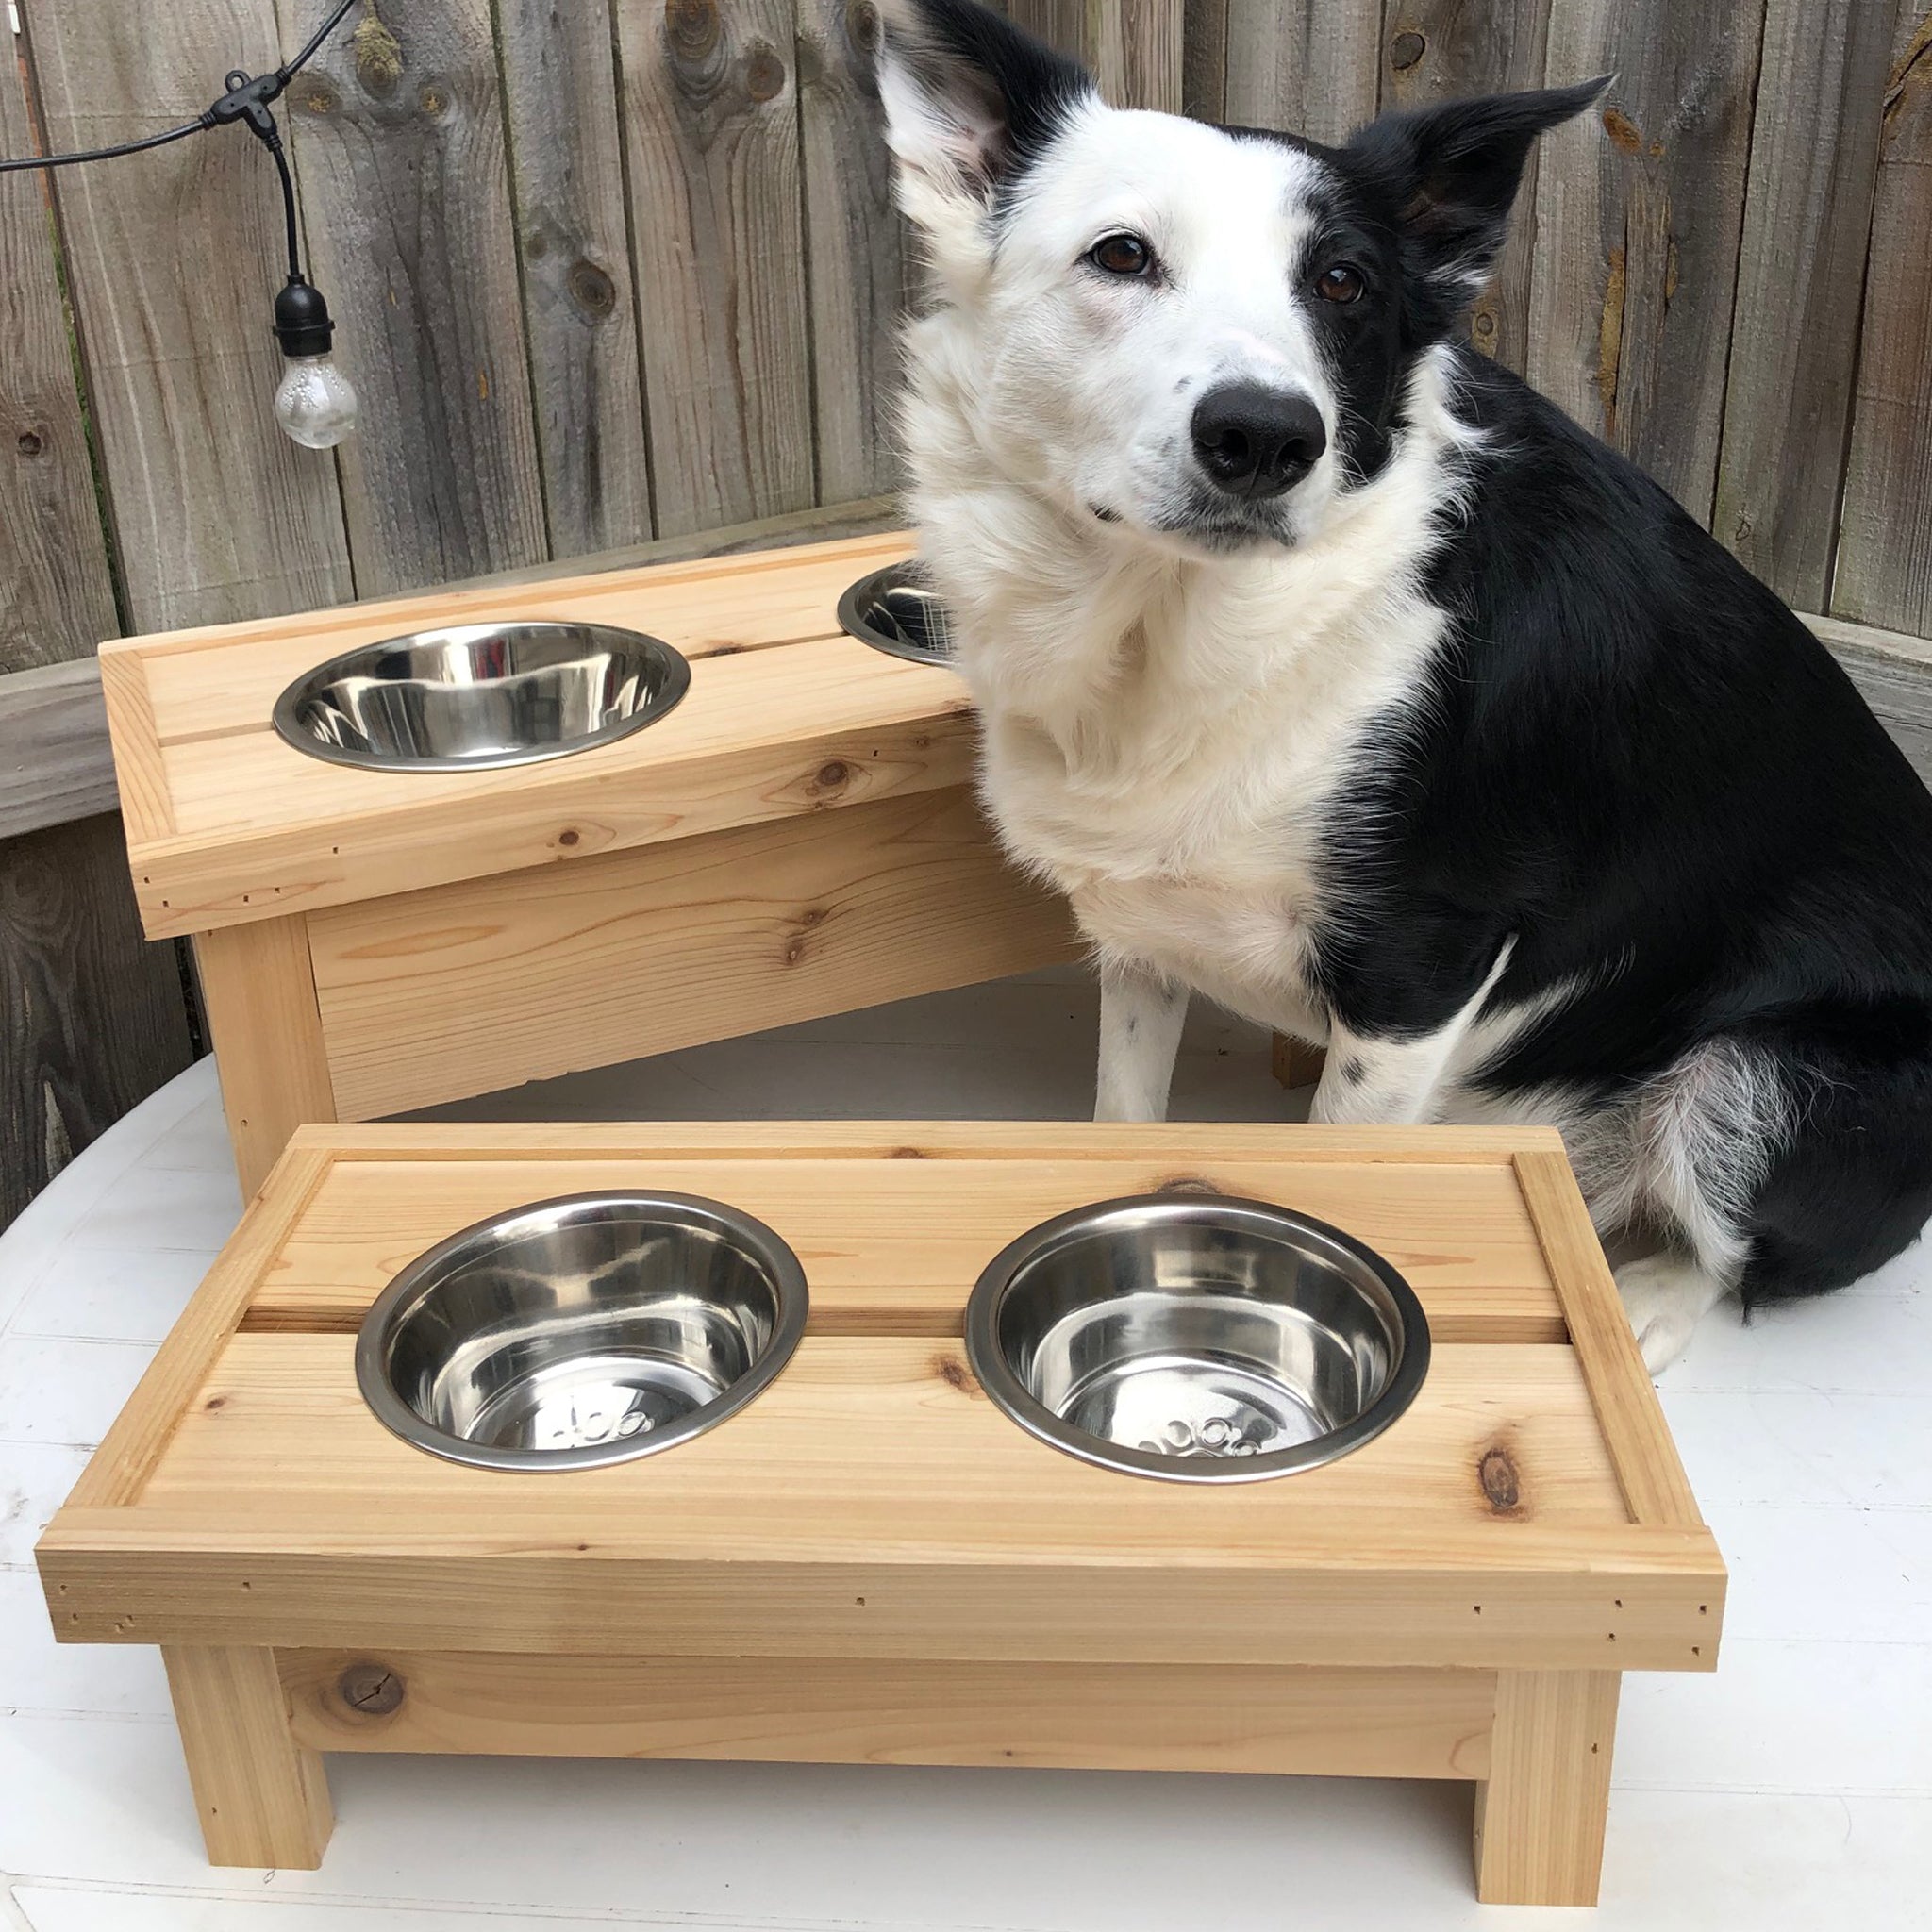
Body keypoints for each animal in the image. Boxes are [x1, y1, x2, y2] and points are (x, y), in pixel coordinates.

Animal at [876, 0, 1932, 1375]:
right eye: (1120, 256)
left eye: (1343, 283)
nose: (1267, 437)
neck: (1172, 624)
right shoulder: (1142, 931)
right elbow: (1124, 1103)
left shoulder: (1421, 970)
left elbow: (1345, 1161)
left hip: (1776, 1083)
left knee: (1737, 1246)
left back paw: (1646, 1300)